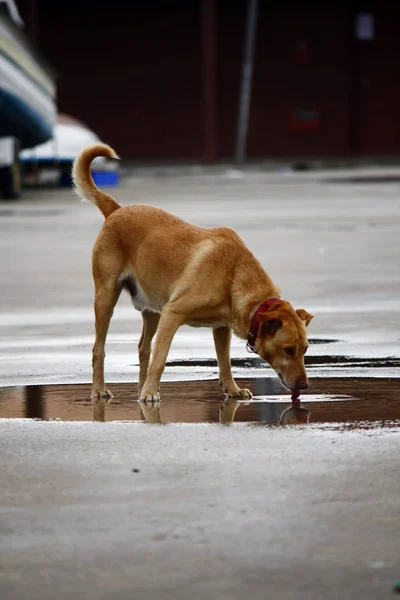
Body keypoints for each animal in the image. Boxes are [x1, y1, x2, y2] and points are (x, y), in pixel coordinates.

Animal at [73, 143, 314, 420]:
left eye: (305, 349)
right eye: (288, 350)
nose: (305, 386)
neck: (234, 274)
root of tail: (116, 210)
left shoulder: (220, 328)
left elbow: (224, 362)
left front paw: (232, 390)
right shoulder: (173, 313)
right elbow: (161, 359)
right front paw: (151, 392)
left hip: (152, 309)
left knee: (143, 349)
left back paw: (141, 388)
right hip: (107, 297)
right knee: (99, 349)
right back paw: (105, 389)